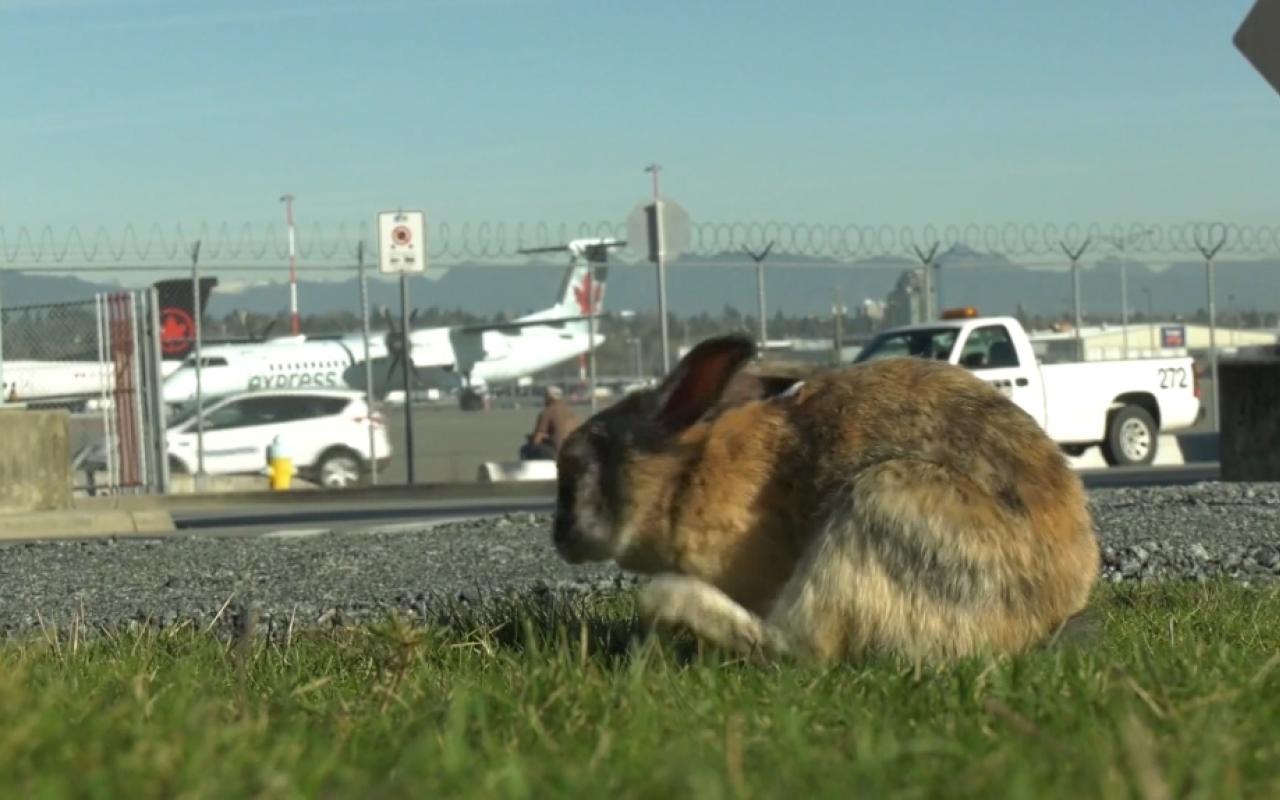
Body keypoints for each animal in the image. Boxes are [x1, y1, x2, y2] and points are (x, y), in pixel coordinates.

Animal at [550, 330, 1100, 660]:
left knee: (797, 648)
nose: (559, 536)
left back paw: (671, 601)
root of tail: (1048, 610)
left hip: (883, 502)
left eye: (575, 466)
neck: (688, 477)